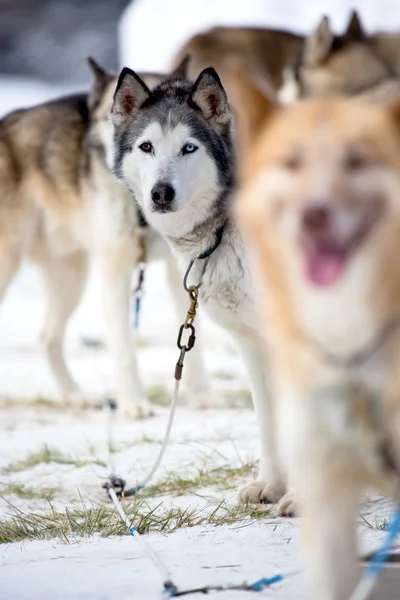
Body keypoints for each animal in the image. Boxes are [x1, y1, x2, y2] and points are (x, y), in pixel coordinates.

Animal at [0, 58, 211, 420]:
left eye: (186, 145)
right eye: (114, 121)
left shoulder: (182, 272)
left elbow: (191, 340)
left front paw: (200, 396)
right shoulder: (116, 272)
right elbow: (125, 348)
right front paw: (134, 403)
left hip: (71, 279)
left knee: (48, 337)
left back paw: (75, 397)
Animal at [110, 64, 290, 506]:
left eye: (189, 148)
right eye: (146, 147)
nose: (161, 192)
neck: (226, 228)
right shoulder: (253, 344)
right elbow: (269, 422)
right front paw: (271, 485)